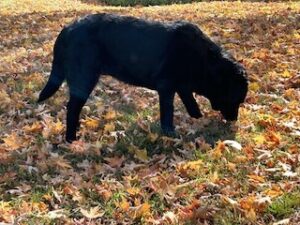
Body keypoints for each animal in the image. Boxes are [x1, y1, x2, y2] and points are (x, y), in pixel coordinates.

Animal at [38, 13, 248, 142]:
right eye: (237, 99)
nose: (234, 120)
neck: (203, 60)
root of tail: (67, 28)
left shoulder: (181, 86)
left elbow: (190, 101)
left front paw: (196, 117)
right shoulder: (166, 87)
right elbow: (168, 112)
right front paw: (170, 133)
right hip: (84, 78)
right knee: (72, 108)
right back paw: (71, 138)